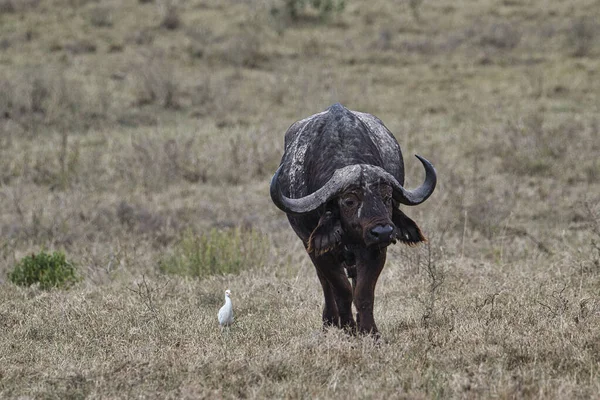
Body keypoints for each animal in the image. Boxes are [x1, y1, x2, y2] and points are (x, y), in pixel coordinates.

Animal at [270, 103, 436, 334]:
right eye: (349, 201)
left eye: (387, 197)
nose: (383, 232)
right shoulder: (320, 251)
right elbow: (342, 291)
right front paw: (347, 328)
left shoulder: (376, 250)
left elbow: (363, 293)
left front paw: (368, 331)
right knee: (325, 284)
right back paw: (330, 321)